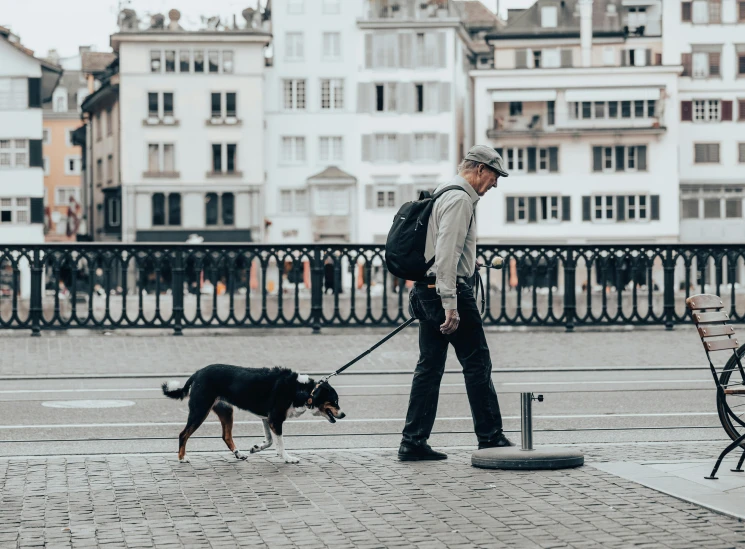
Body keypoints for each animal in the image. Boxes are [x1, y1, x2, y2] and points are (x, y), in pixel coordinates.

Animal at [161, 364, 344, 462]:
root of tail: (197, 373)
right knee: (183, 434)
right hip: (200, 410)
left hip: (226, 411)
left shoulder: (267, 419)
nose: (343, 415)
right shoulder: (275, 419)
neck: (304, 390)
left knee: (226, 436)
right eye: (334, 401)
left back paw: (239, 454)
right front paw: (287, 458)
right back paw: (182, 458)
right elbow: (280, 443)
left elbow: (269, 441)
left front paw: (256, 448)